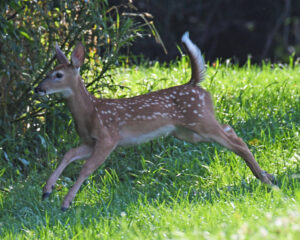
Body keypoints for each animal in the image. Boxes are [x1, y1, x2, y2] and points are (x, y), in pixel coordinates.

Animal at [34, 31, 274, 210]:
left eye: (57, 75)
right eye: (49, 71)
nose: (39, 88)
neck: (91, 112)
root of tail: (195, 84)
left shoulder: (108, 138)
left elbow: (86, 168)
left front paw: (66, 203)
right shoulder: (89, 142)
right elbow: (69, 154)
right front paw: (47, 190)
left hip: (200, 121)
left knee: (237, 141)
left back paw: (267, 181)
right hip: (189, 132)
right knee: (231, 131)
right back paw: (266, 176)